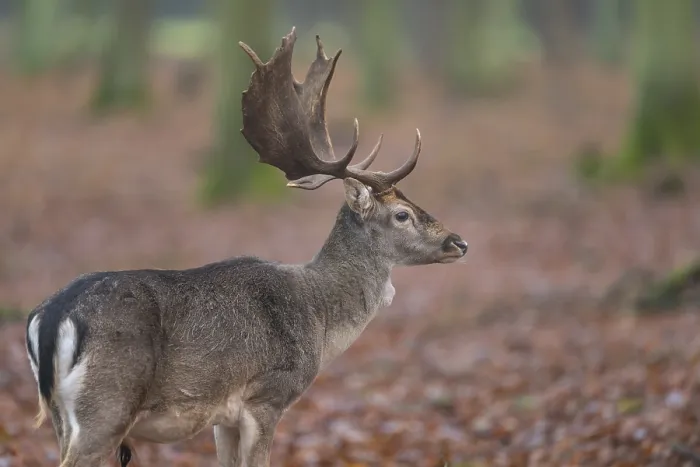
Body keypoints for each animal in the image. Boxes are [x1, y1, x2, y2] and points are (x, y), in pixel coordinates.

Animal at [25, 28, 468, 467]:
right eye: (402, 215)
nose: (459, 241)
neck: (319, 319)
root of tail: (50, 317)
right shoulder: (266, 395)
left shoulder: (223, 417)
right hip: (108, 403)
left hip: (61, 415)